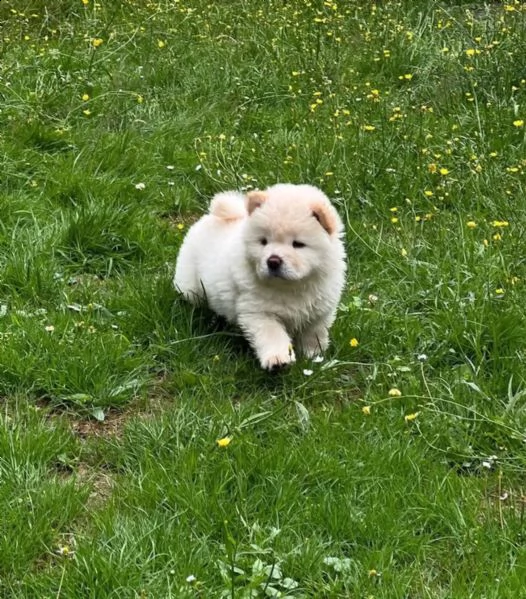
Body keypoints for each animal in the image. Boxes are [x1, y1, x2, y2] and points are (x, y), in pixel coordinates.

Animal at [175, 183, 348, 370]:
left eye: (298, 244)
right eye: (264, 241)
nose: (273, 261)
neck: (290, 287)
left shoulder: (320, 310)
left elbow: (314, 333)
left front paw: (313, 356)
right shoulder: (259, 312)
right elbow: (273, 335)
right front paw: (278, 360)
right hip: (191, 285)